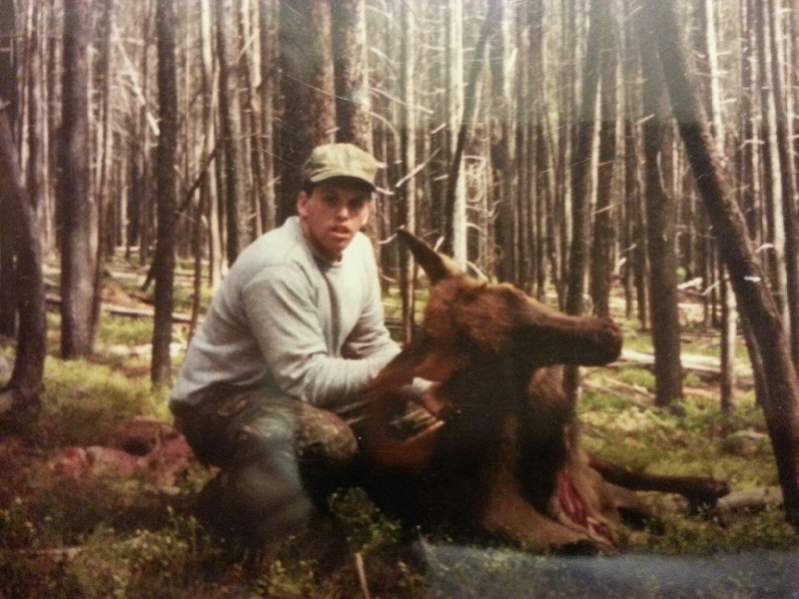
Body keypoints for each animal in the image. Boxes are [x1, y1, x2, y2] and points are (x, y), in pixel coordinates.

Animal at [362, 231, 732, 556]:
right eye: (504, 351)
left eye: (511, 293)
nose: (606, 332)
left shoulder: (605, 497)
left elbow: (663, 515)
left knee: (628, 472)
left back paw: (710, 486)